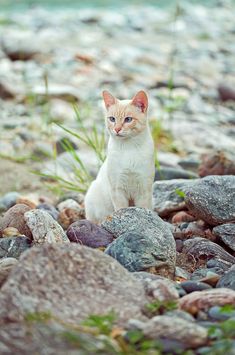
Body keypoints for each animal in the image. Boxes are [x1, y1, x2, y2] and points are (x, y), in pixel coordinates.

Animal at [85, 90, 156, 224]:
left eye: (128, 119)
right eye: (112, 119)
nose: (117, 129)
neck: (129, 148)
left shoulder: (144, 190)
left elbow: (143, 209)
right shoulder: (118, 189)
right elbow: (121, 209)